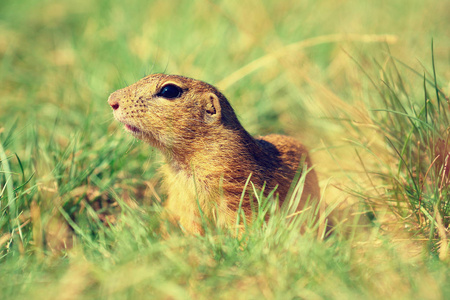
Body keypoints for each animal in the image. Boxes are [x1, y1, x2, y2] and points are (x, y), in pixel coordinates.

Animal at [107, 74, 322, 234]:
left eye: (169, 91)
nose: (111, 100)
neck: (182, 161)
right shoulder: (182, 199)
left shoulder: (236, 188)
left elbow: (245, 224)